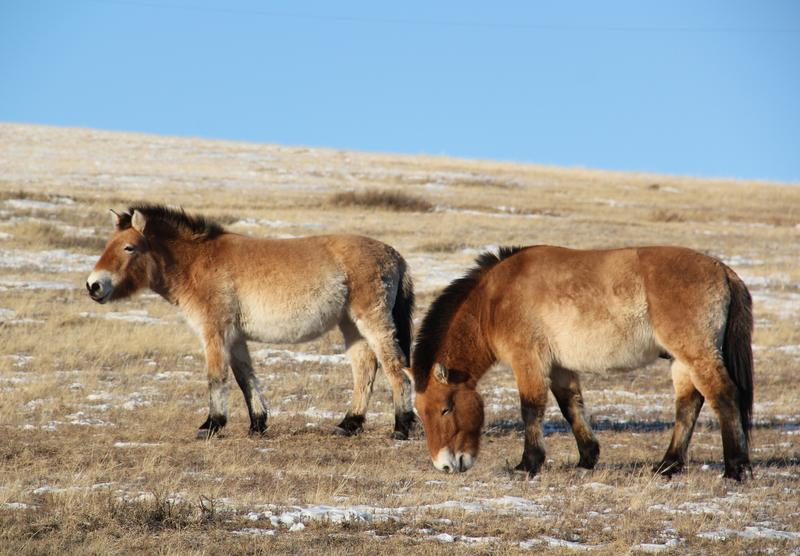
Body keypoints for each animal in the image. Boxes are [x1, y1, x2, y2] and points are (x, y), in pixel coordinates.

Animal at [86, 204, 418, 438]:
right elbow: (245, 377)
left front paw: (211, 425)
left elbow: (217, 377)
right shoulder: (234, 337)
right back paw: (349, 424)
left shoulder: (215, 332)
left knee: (393, 365)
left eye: (129, 247)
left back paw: (401, 427)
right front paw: (257, 424)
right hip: (350, 325)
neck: (197, 263)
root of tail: (395, 255)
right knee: (364, 368)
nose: (93, 286)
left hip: (371, 320)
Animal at [410, 245, 752, 480]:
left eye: (445, 409)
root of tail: (723, 270)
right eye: (421, 414)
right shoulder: (560, 367)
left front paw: (528, 464)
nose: (445, 465)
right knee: (687, 406)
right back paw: (667, 465)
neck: (493, 301)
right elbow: (571, 406)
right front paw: (587, 458)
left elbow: (531, 409)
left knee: (723, 396)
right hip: (681, 361)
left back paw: (736, 468)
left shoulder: (528, 361)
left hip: (697, 355)